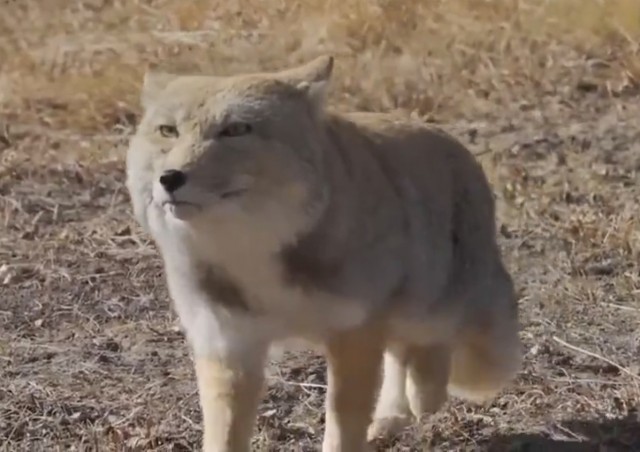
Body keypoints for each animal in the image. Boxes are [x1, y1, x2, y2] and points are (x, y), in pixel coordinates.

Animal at [125, 55, 522, 452]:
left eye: (236, 129)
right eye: (168, 131)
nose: (170, 178)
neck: (254, 253)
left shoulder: (354, 332)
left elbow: (343, 427)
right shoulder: (227, 342)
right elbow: (223, 438)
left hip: (447, 323)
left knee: (431, 344)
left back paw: (422, 391)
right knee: (402, 352)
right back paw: (394, 415)